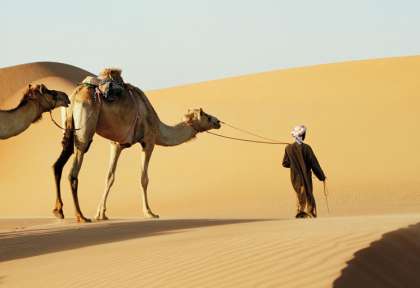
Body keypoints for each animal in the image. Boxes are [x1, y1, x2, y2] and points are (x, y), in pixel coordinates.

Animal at [52, 68, 221, 222]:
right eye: (206, 115)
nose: (218, 121)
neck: (158, 127)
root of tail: (76, 93)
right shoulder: (149, 141)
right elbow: (143, 178)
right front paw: (150, 213)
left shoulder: (117, 144)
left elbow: (109, 177)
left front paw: (101, 214)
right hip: (85, 129)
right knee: (74, 171)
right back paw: (80, 216)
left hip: (68, 126)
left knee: (58, 164)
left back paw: (59, 211)